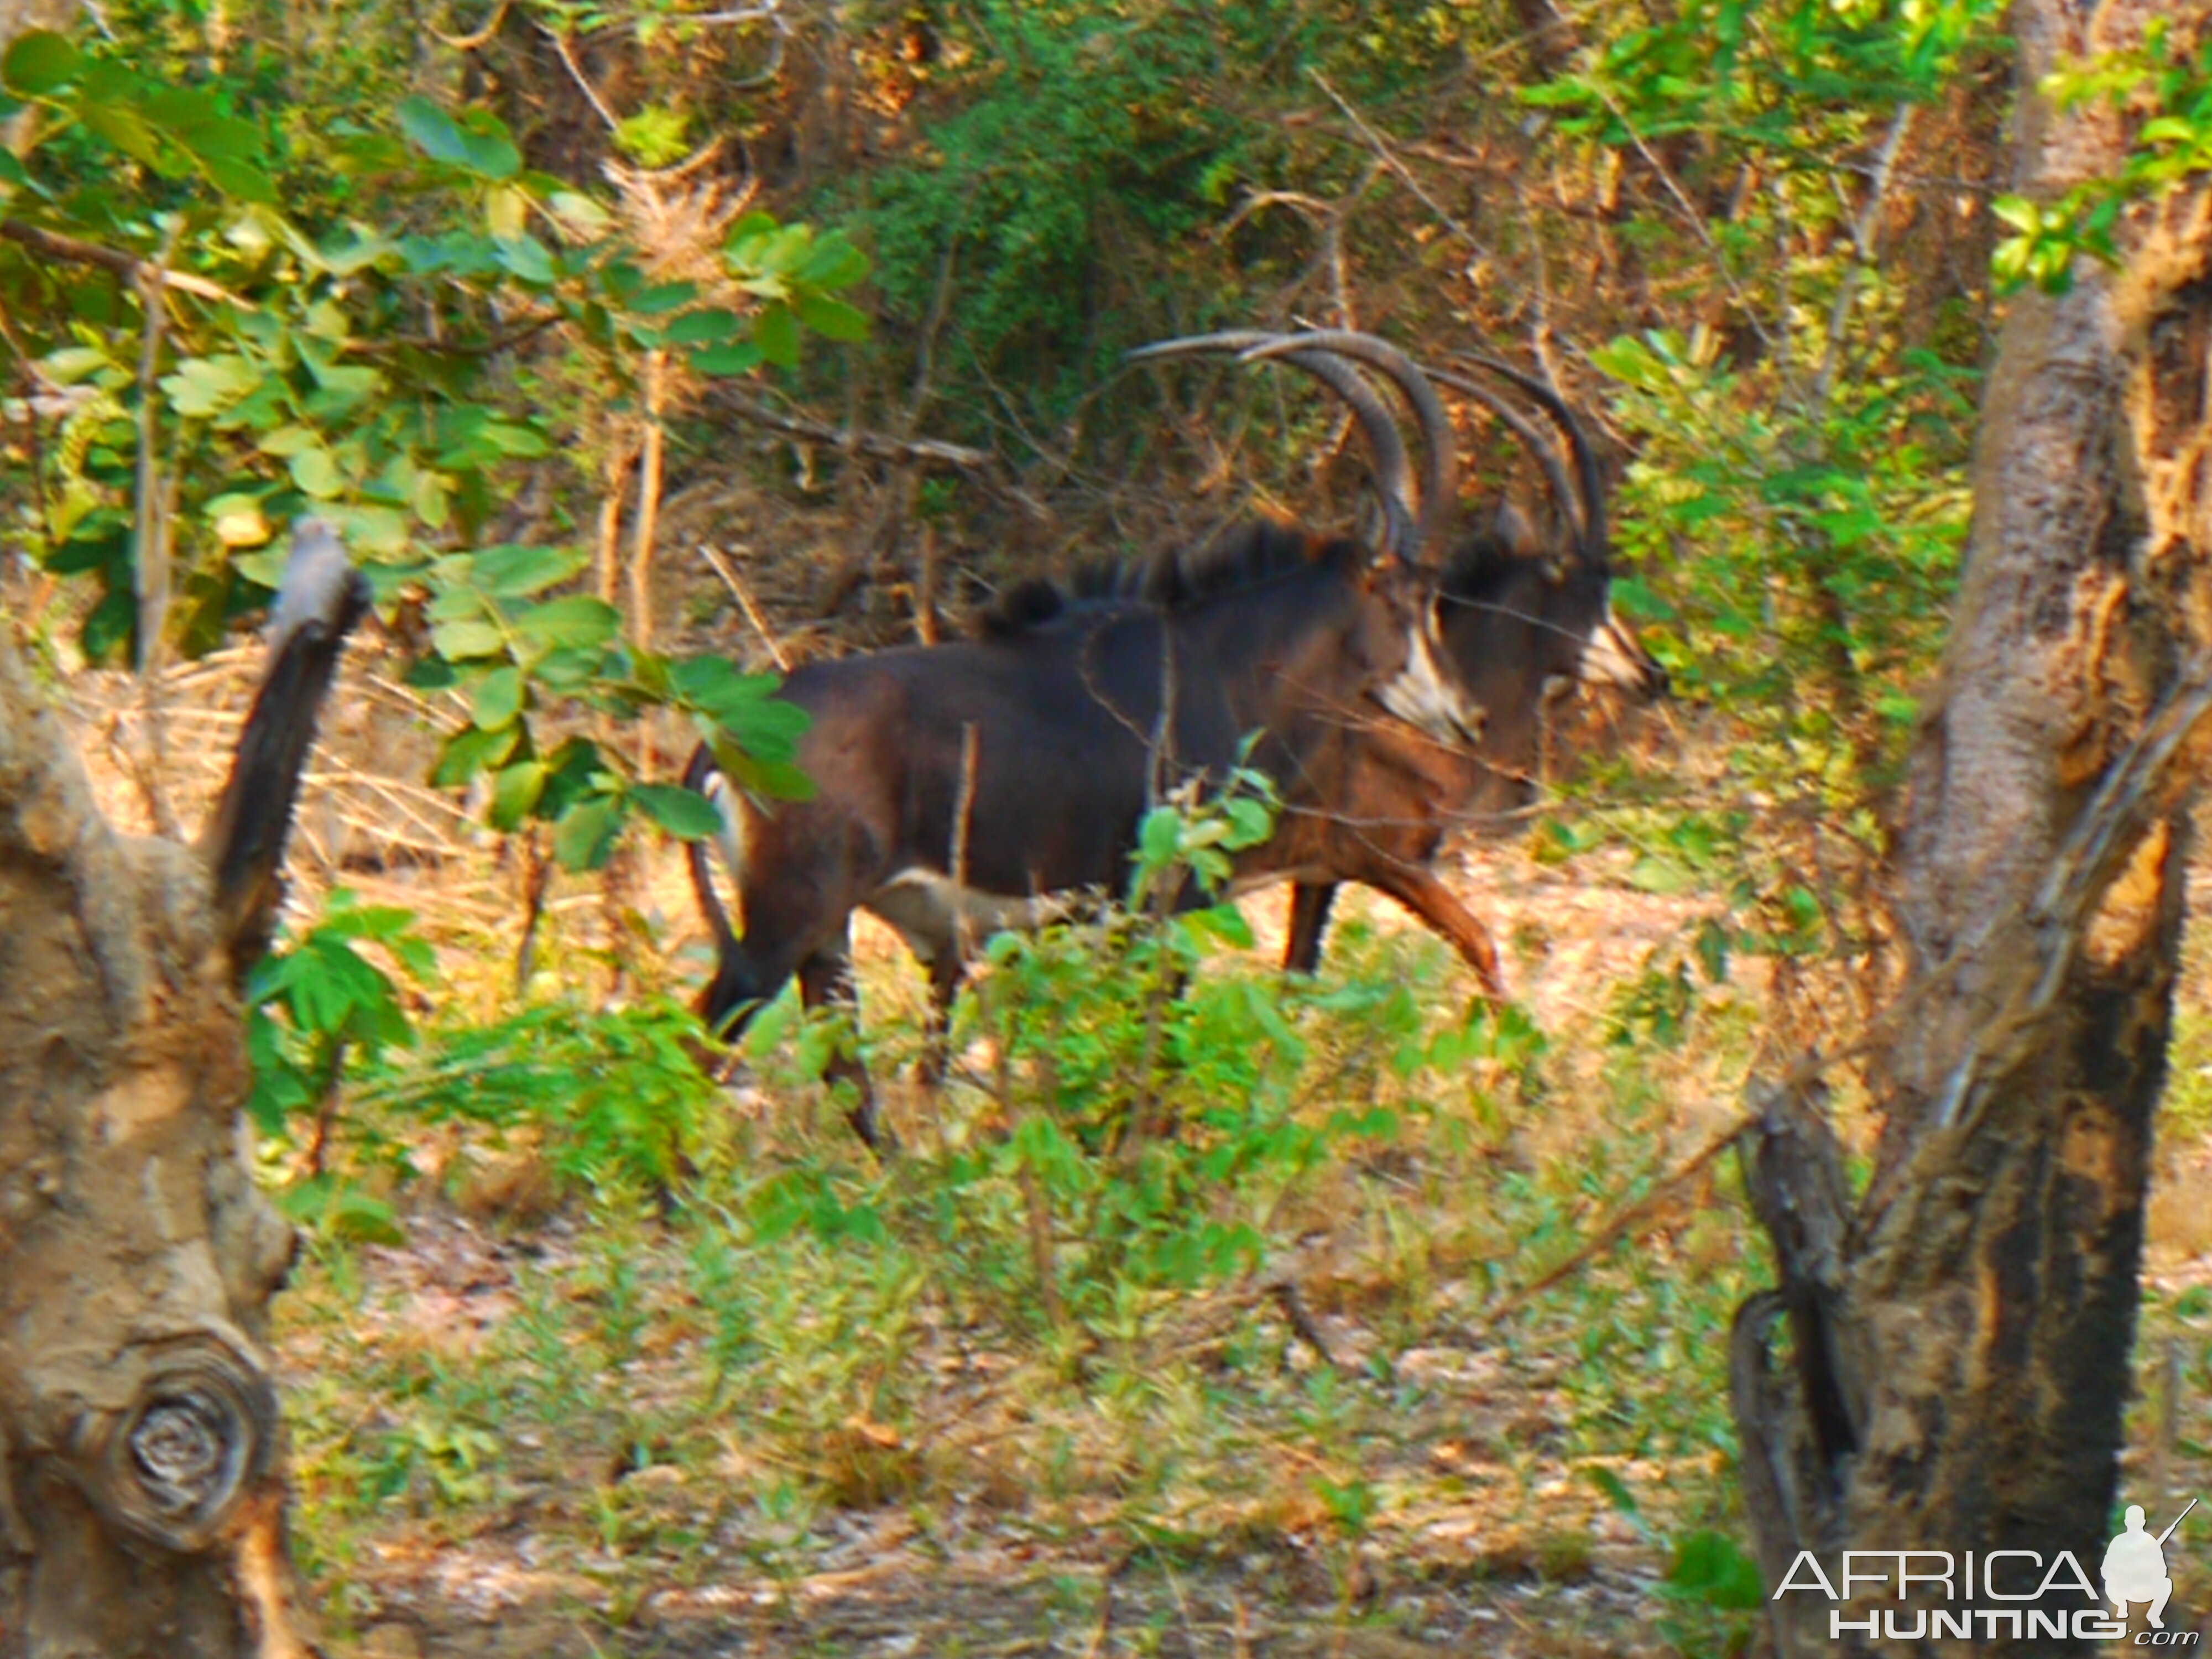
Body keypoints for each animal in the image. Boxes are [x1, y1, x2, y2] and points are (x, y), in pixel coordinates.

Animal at [681, 332, 1460, 1150]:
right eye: (1413, 599)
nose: (1456, 714)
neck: (1215, 664)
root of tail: (718, 738)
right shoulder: (1164, 900)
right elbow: (1156, 1054)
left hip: (827, 931)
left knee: (844, 1074)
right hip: (785, 923)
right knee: (707, 1043)